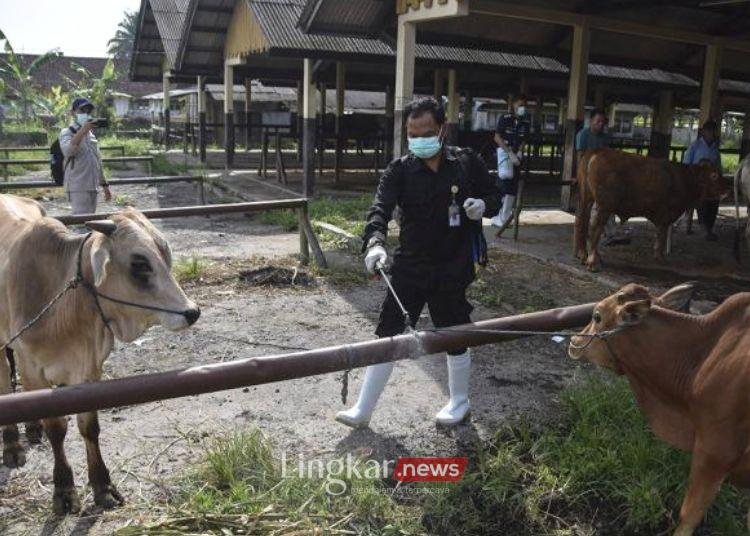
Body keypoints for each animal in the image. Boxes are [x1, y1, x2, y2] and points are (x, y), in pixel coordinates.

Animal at [0, 195, 200, 512]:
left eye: (165, 255)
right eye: (139, 262)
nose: (191, 312)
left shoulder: (89, 370)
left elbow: (89, 427)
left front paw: (102, 487)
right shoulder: (34, 367)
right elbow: (57, 428)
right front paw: (64, 491)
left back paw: (31, 429)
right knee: (6, 382)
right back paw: (12, 445)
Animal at [576, 148, 728, 270]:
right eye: (714, 175)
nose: (727, 188)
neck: (685, 178)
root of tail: (597, 151)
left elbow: (659, 234)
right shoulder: (666, 214)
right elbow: (661, 235)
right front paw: (660, 257)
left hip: (586, 199)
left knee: (581, 221)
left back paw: (582, 255)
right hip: (604, 206)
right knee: (595, 228)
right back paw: (593, 262)